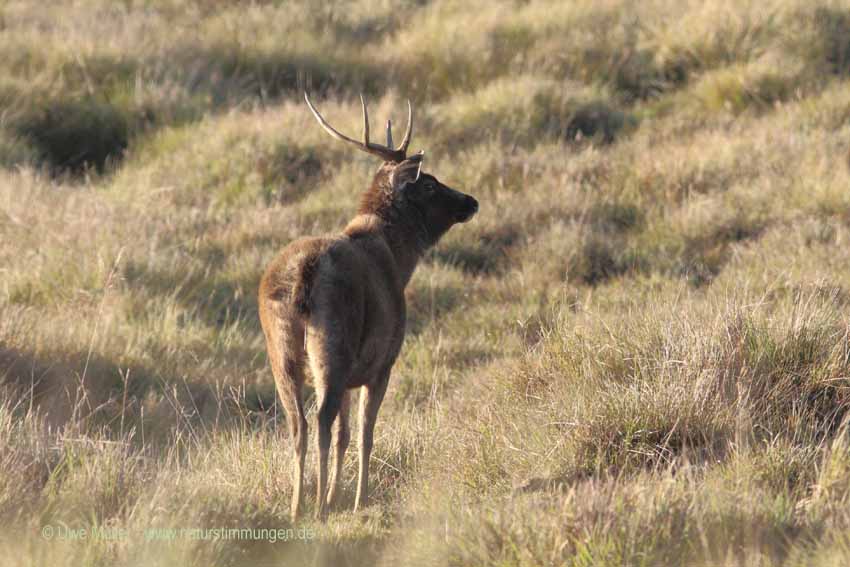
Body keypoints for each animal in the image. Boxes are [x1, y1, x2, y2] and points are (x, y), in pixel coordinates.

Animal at [255, 94, 480, 524]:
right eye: (429, 182)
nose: (471, 201)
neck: (399, 260)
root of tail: (305, 272)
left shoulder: (351, 376)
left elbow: (344, 436)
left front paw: (335, 495)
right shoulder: (382, 363)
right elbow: (364, 434)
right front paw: (354, 499)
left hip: (281, 352)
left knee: (298, 424)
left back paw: (296, 507)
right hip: (334, 344)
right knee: (321, 419)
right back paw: (316, 507)